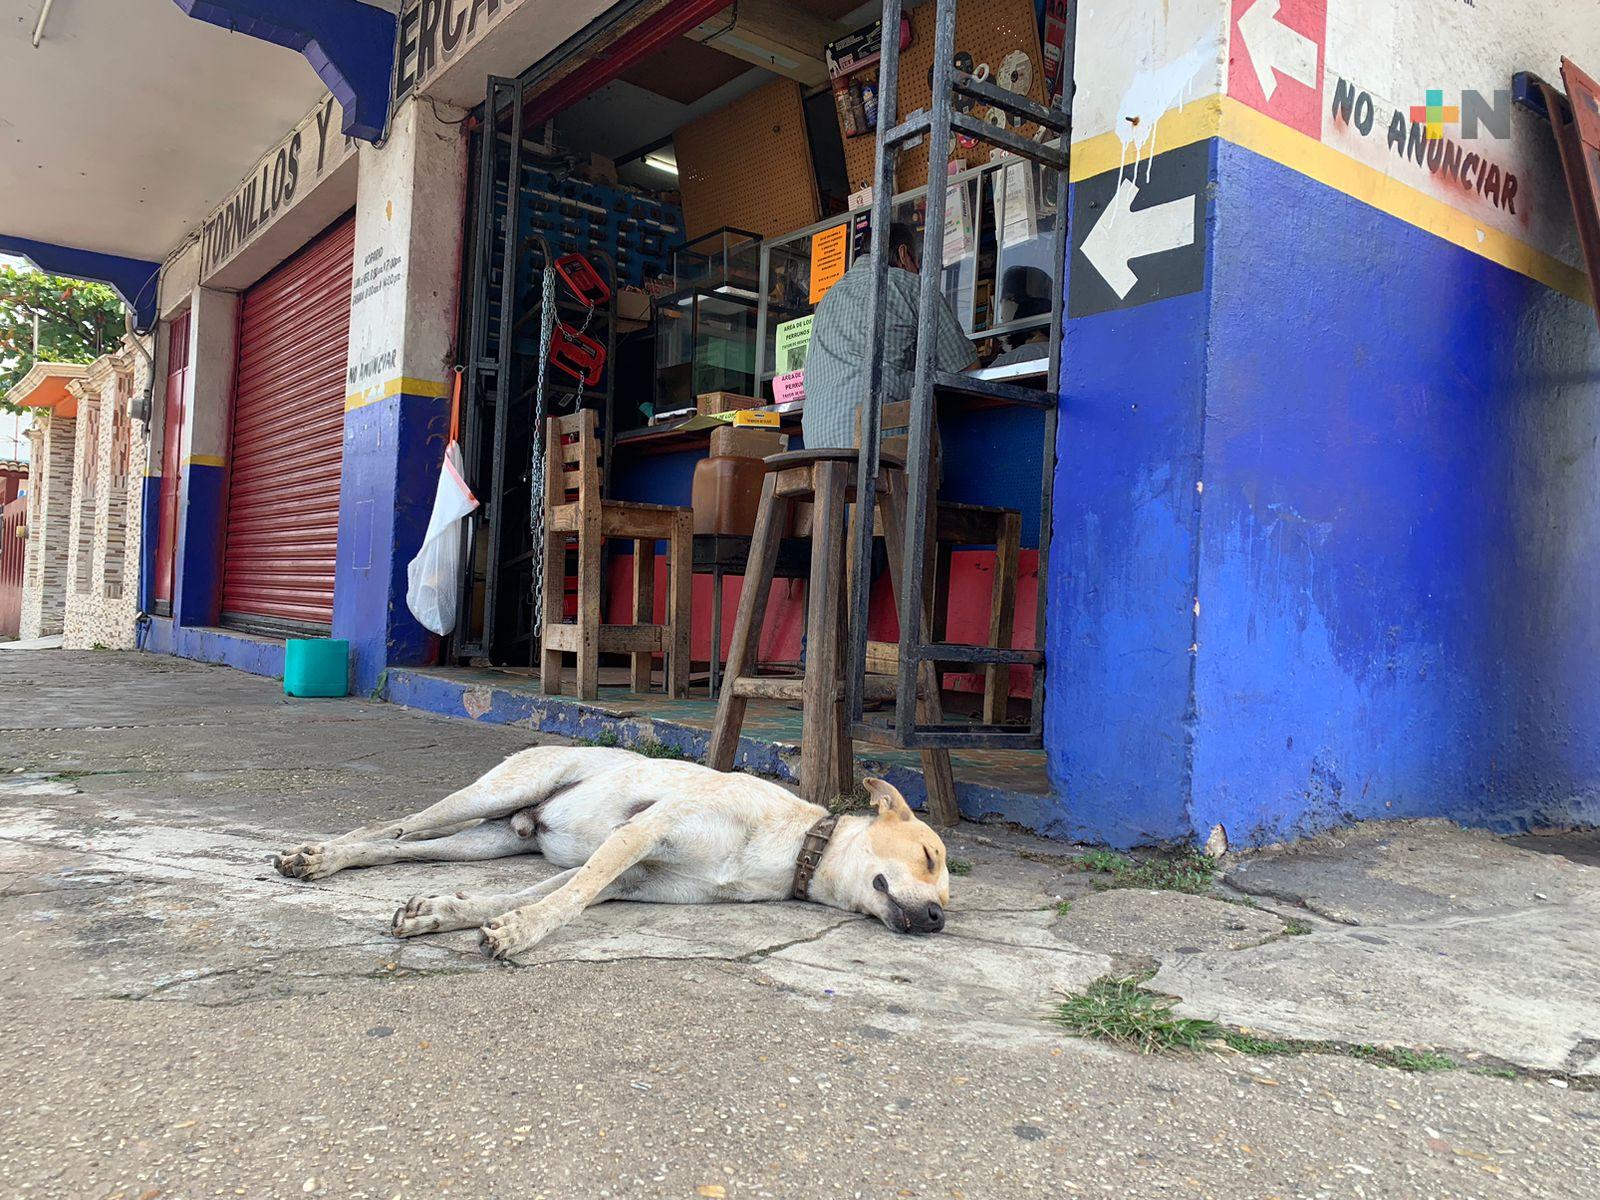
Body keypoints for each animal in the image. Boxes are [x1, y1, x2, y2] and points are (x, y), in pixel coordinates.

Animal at [273, 746, 951, 960]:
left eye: (947, 891)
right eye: (928, 853)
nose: (939, 918)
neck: (795, 846)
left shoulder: (634, 877)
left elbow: (544, 892)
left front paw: (446, 914)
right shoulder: (638, 835)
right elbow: (567, 901)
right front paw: (519, 933)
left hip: (484, 839)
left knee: (409, 849)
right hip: (494, 791)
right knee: (392, 828)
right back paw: (317, 856)